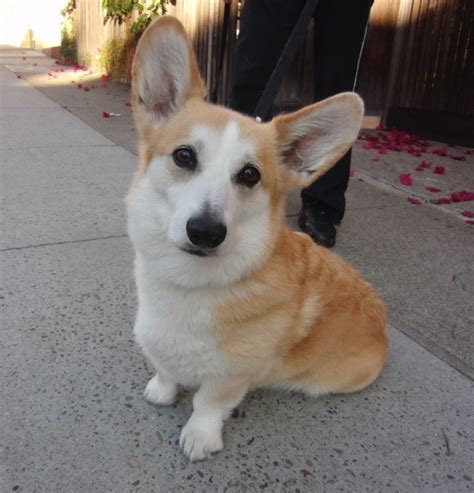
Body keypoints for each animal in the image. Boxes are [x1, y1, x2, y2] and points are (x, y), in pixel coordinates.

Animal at [127, 16, 388, 462]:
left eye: (250, 175)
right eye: (184, 156)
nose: (206, 232)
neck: (189, 283)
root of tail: (384, 329)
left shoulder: (232, 375)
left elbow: (208, 403)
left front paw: (199, 436)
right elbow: (165, 371)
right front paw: (161, 390)